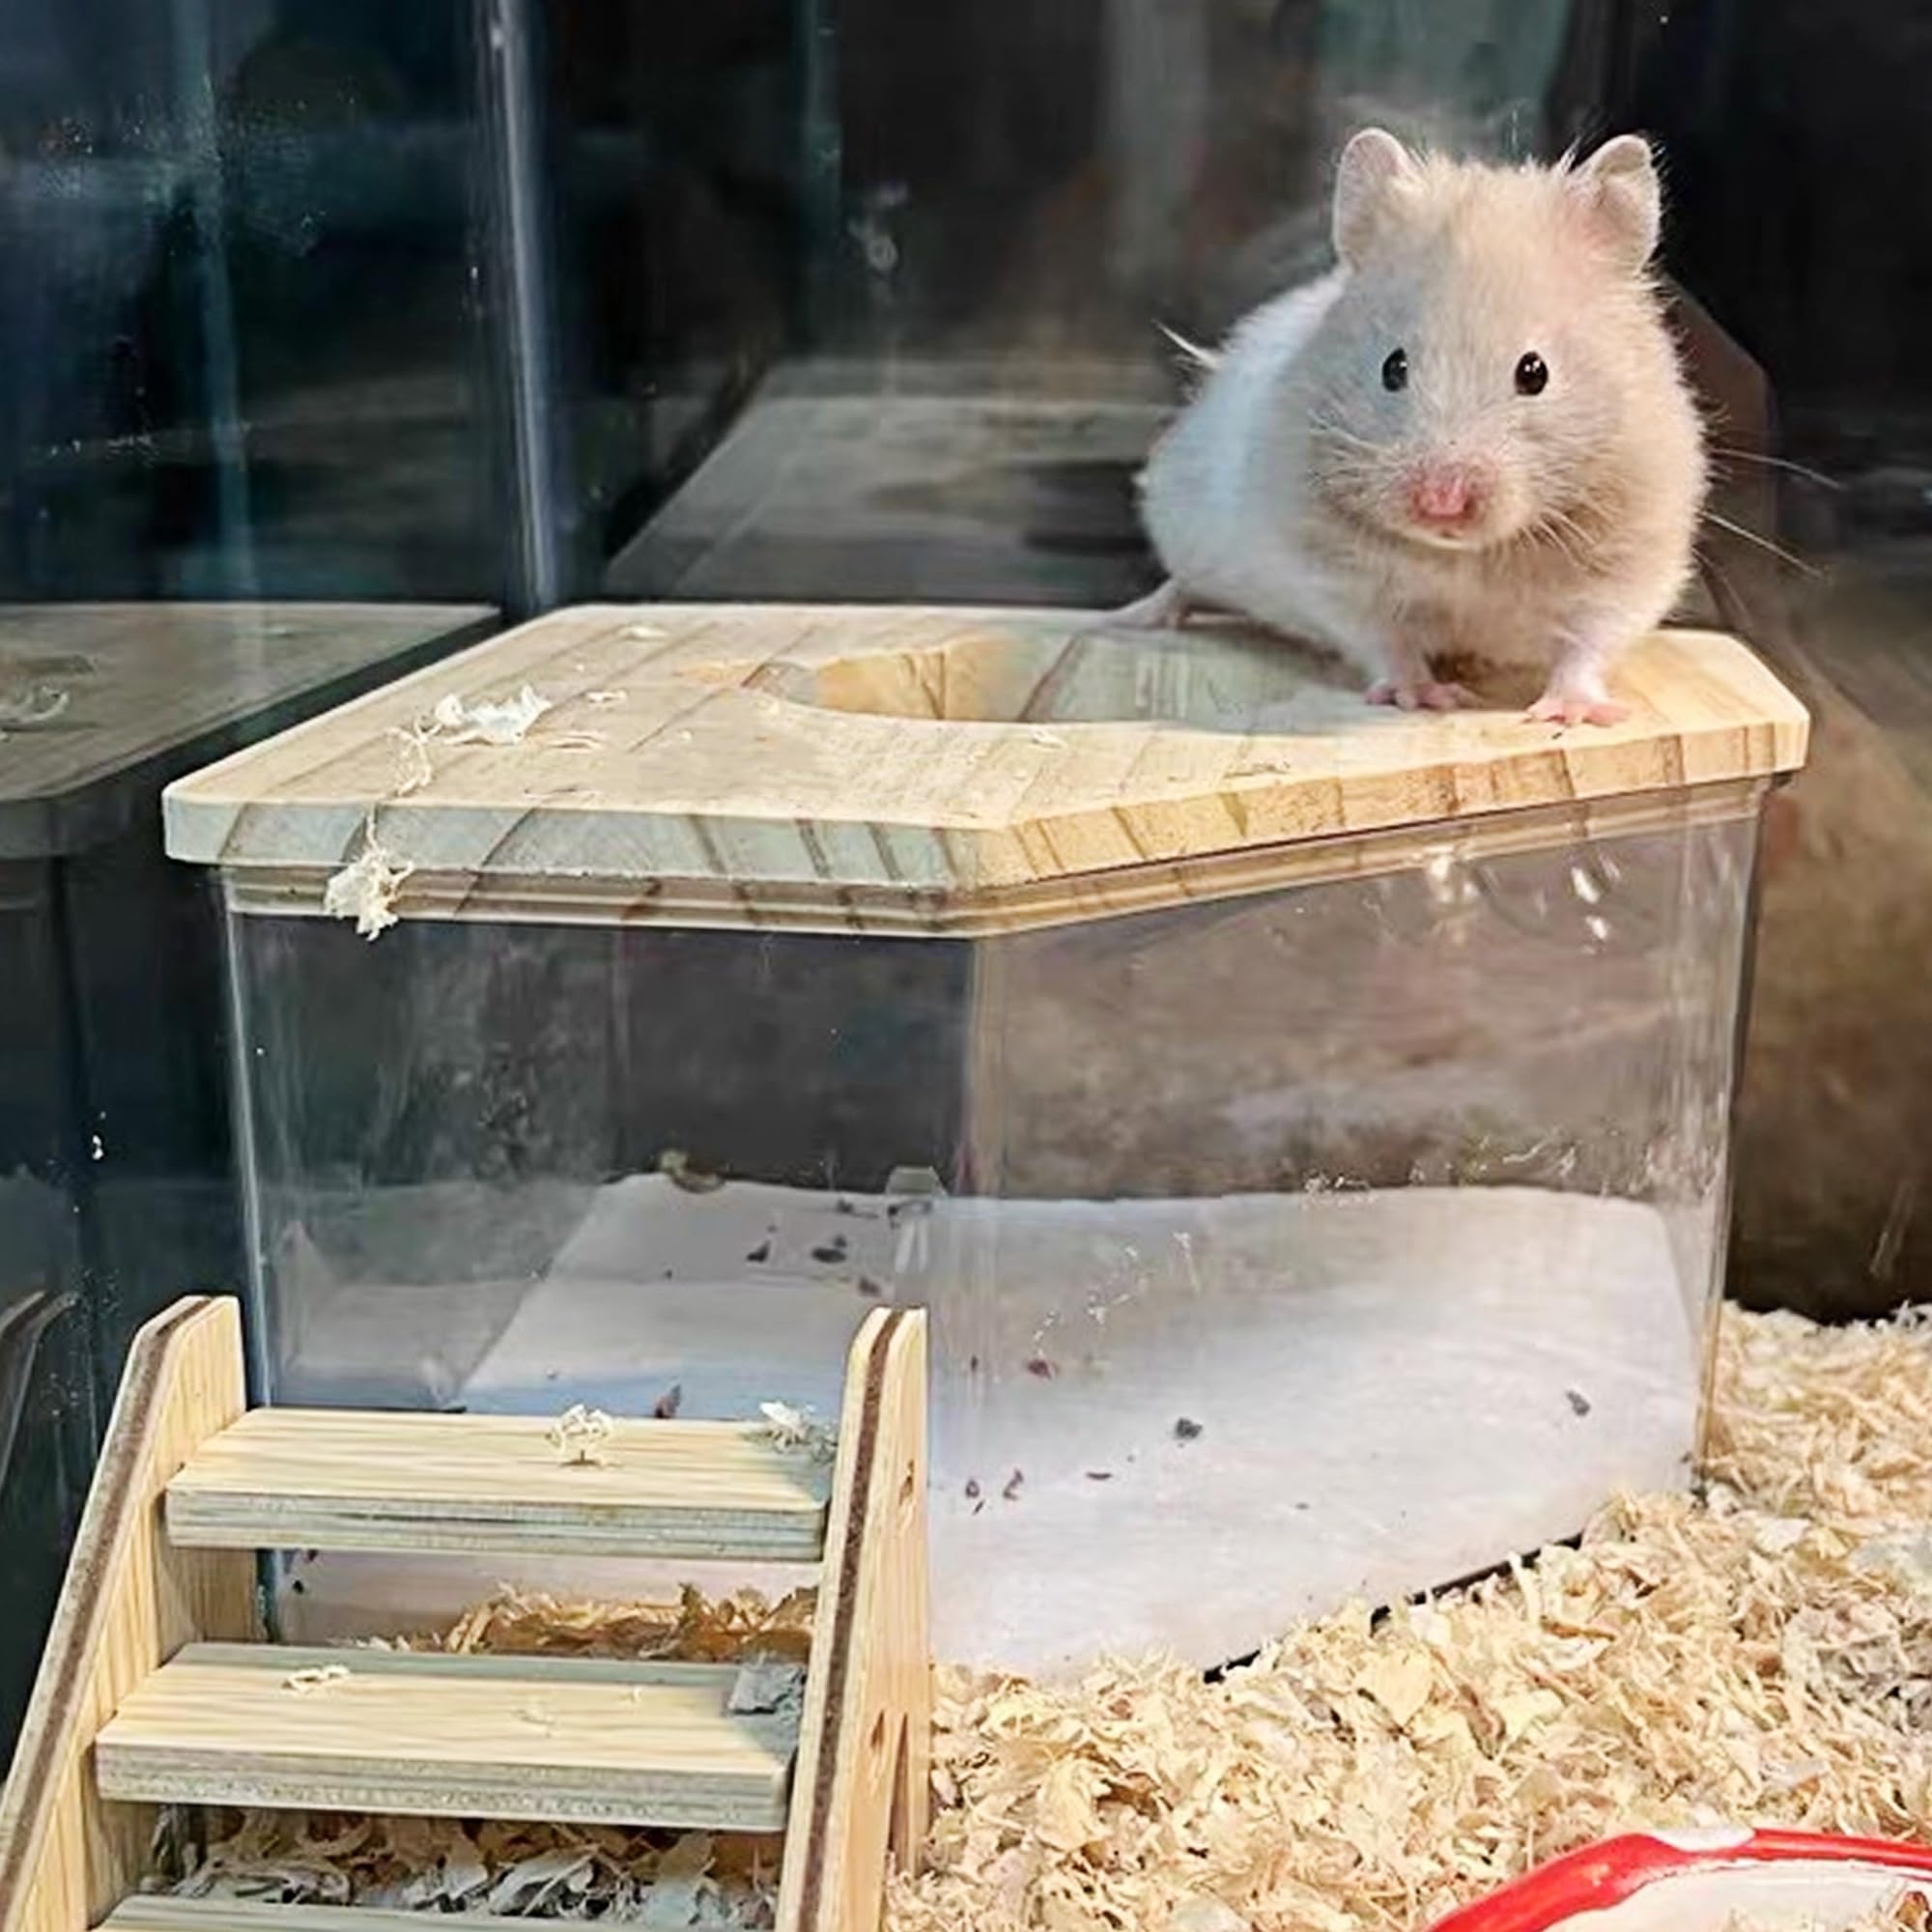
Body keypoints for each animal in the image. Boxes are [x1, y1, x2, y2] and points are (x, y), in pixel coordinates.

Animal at [1131, 128, 1708, 725]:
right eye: (1393, 367)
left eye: (1535, 372)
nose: (1442, 504)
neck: (1466, 555)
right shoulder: (1333, 574)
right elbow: (1386, 640)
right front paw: (1426, 697)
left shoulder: (1633, 564)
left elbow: (1589, 644)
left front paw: (1568, 713)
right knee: (1180, 583)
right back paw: (1135, 618)